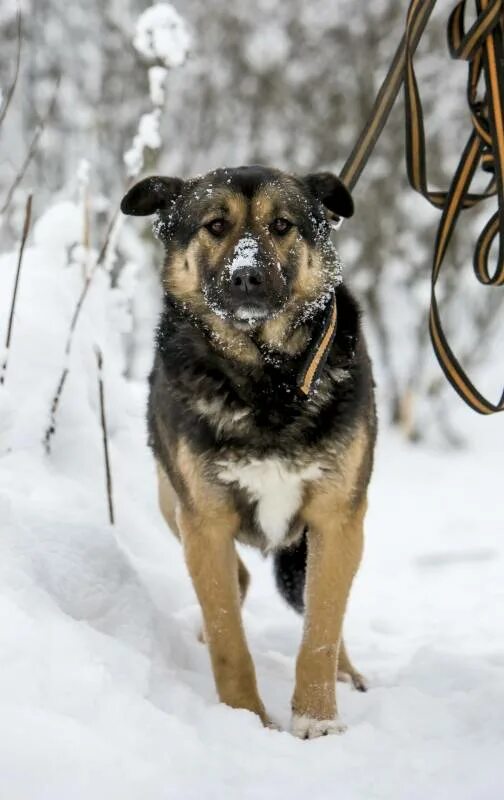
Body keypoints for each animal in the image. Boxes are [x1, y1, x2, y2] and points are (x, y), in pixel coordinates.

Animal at [120, 166, 376, 740]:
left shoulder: (337, 521)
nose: (246, 277)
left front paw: (316, 719)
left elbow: (321, 631)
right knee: (235, 581)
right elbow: (228, 638)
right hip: (173, 503)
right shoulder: (205, 521)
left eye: (282, 225)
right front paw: (244, 719)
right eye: (216, 225)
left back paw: (349, 676)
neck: (267, 384)